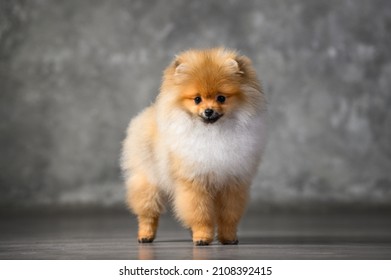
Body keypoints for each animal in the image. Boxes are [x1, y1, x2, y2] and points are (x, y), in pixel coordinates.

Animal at [121, 47, 266, 245]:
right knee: (148, 213)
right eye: (197, 99)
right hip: (148, 181)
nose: (209, 111)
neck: (213, 133)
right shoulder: (194, 182)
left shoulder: (232, 183)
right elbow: (200, 213)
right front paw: (203, 236)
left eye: (221, 98)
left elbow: (228, 215)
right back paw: (145, 235)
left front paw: (228, 238)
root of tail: (146, 114)